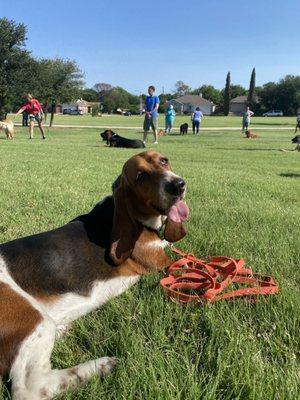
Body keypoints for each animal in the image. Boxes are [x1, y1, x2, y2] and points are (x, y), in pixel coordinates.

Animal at [0, 151, 188, 400]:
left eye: (164, 161)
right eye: (140, 176)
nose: (178, 185)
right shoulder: (162, 262)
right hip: (32, 317)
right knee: (32, 389)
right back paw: (100, 366)